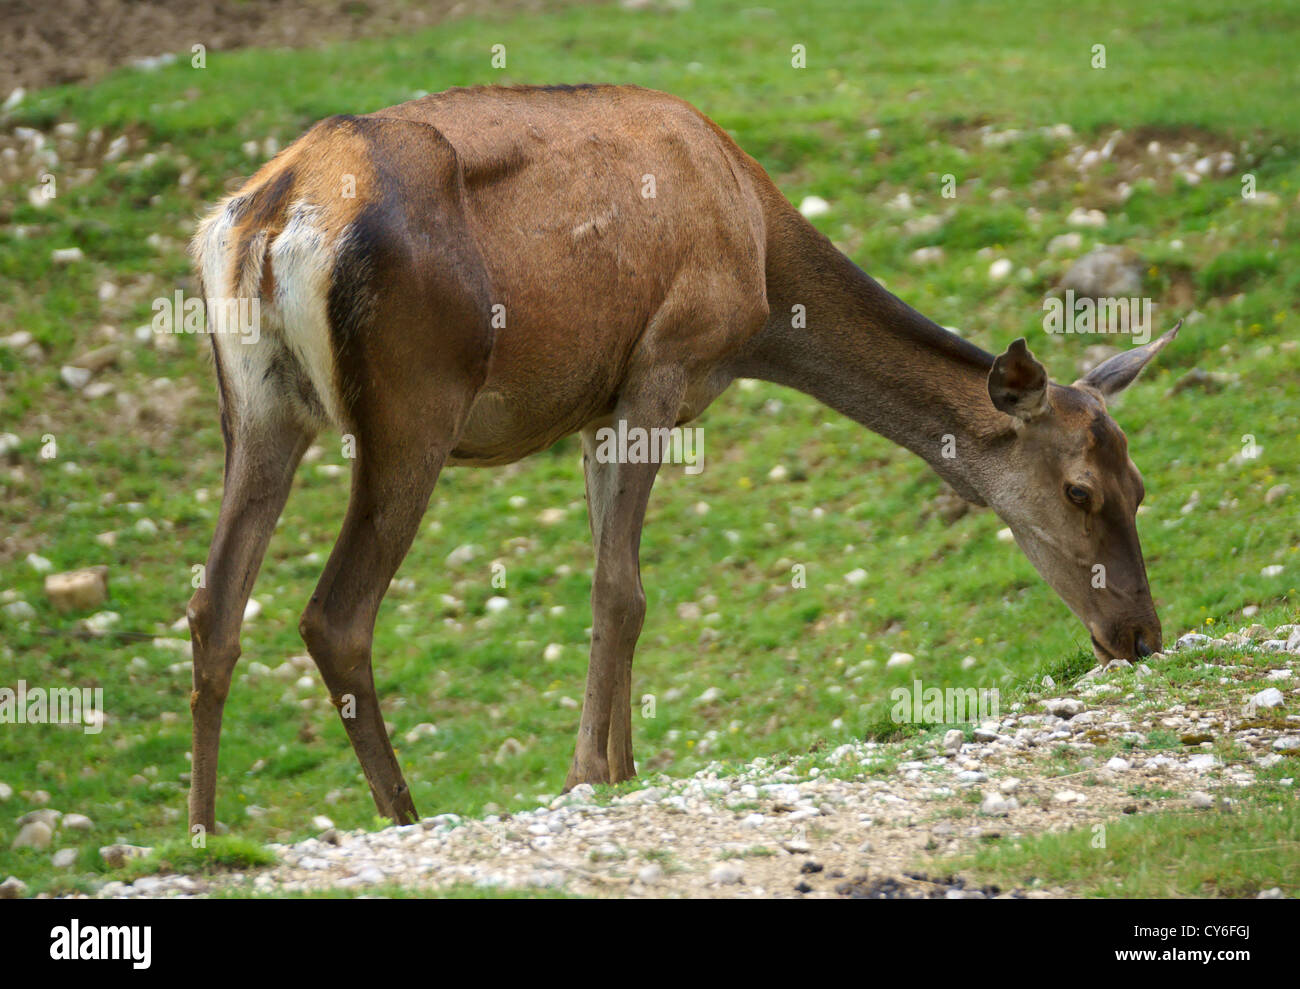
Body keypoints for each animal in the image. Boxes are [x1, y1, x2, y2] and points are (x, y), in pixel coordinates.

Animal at [189, 85, 1180, 831]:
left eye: (1140, 485)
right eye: (1080, 490)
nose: (1141, 634)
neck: (764, 277)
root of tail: (270, 219)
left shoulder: (597, 407)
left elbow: (613, 580)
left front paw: (620, 767)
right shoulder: (664, 363)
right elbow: (621, 588)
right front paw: (588, 774)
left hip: (258, 405)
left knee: (214, 603)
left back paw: (204, 833)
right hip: (414, 401)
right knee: (334, 614)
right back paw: (405, 814)